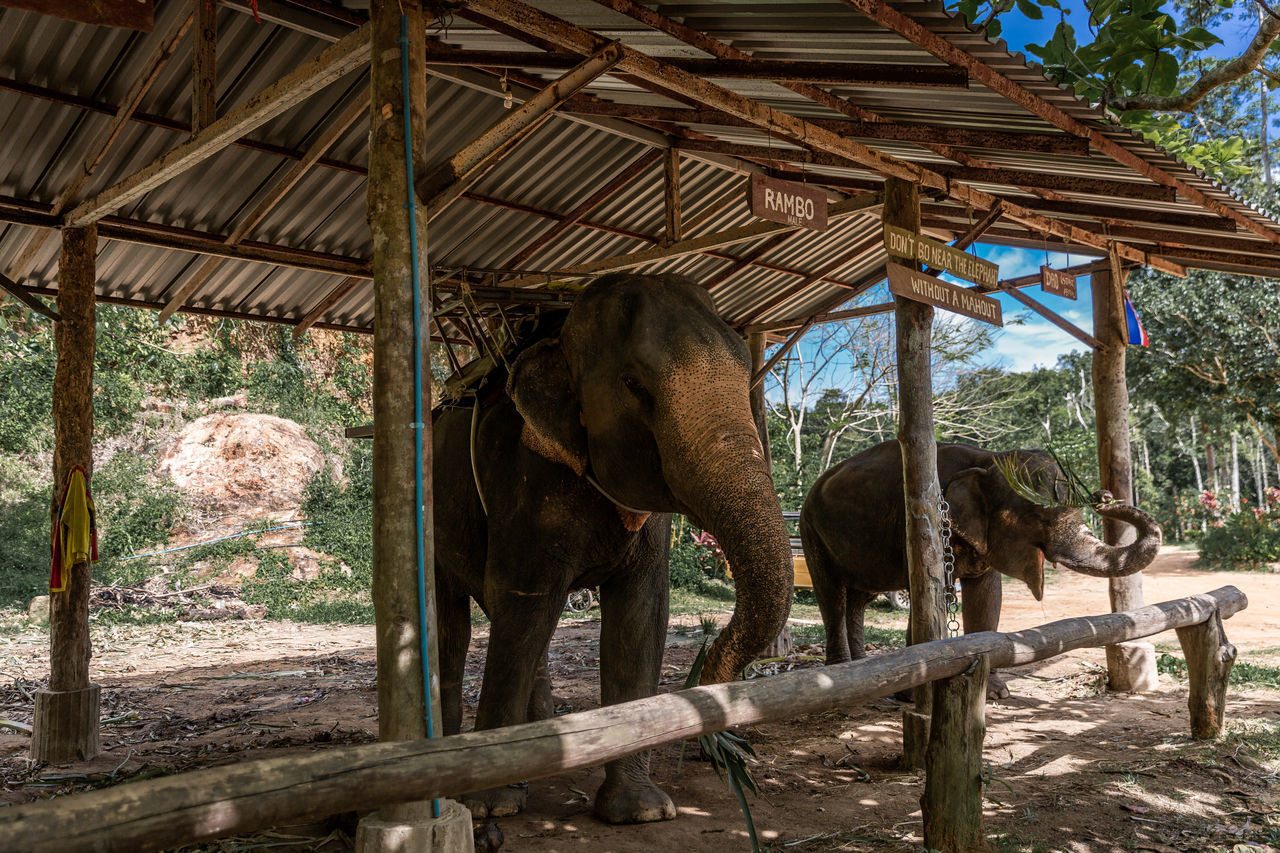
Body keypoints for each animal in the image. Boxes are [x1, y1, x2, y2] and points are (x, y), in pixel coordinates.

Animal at [432, 270, 788, 819]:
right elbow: (524, 602)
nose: (718, 748)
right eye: (633, 384)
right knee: (457, 625)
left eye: (747, 373)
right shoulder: (521, 475)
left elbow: (641, 615)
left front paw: (641, 811)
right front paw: (489, 806)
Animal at [803, 440, 1167, 696]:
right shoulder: (920, 525)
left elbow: (987, 593)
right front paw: (915, 691)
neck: (987, 459)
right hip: (811, 532)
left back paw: (857, 671)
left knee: (858, 599)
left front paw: (995, 693)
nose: (1102, 495)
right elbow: (925, 592)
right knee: (832, 595)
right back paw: (839, 677)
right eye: (1039, 515)